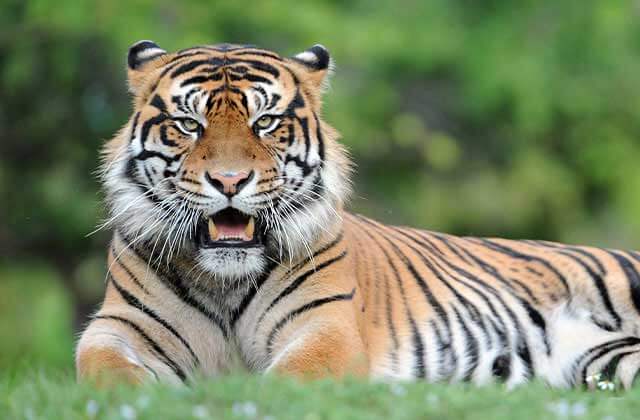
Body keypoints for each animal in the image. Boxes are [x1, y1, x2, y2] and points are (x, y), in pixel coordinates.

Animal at [75, 40, 640, 390]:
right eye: (189, 124)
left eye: (266, 122)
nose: (230, 181)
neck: (225, 282)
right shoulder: (119, 325)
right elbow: (102, 368)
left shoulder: (327, 327)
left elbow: (289, 378)